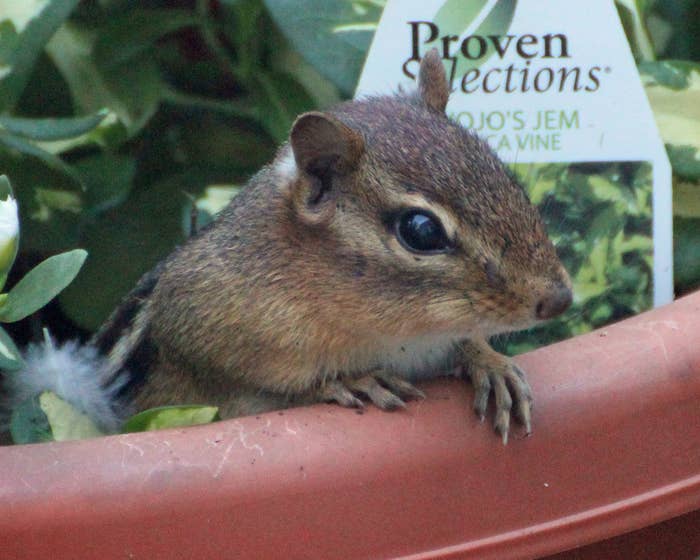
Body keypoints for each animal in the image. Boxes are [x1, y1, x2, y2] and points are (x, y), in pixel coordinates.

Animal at [6, 49, 572, 443]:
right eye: (421, 230)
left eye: (502, 171)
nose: (560, 299)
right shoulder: (199, 327)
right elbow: (259, 387)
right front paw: (350, 381)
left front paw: (491, 363)